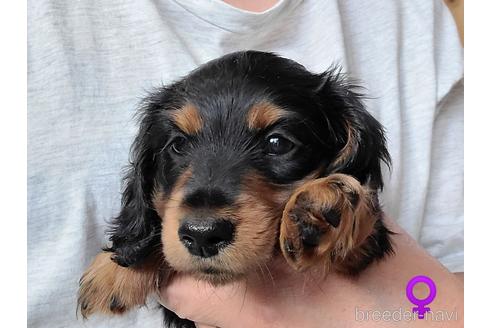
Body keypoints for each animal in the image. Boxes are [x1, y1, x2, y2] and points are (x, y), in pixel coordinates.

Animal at [80, 51, 396, 328]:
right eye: (178, 144)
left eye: (277, 143)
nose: (202, 235)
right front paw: (113, 271)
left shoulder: (367, 246)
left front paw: (325, 204)